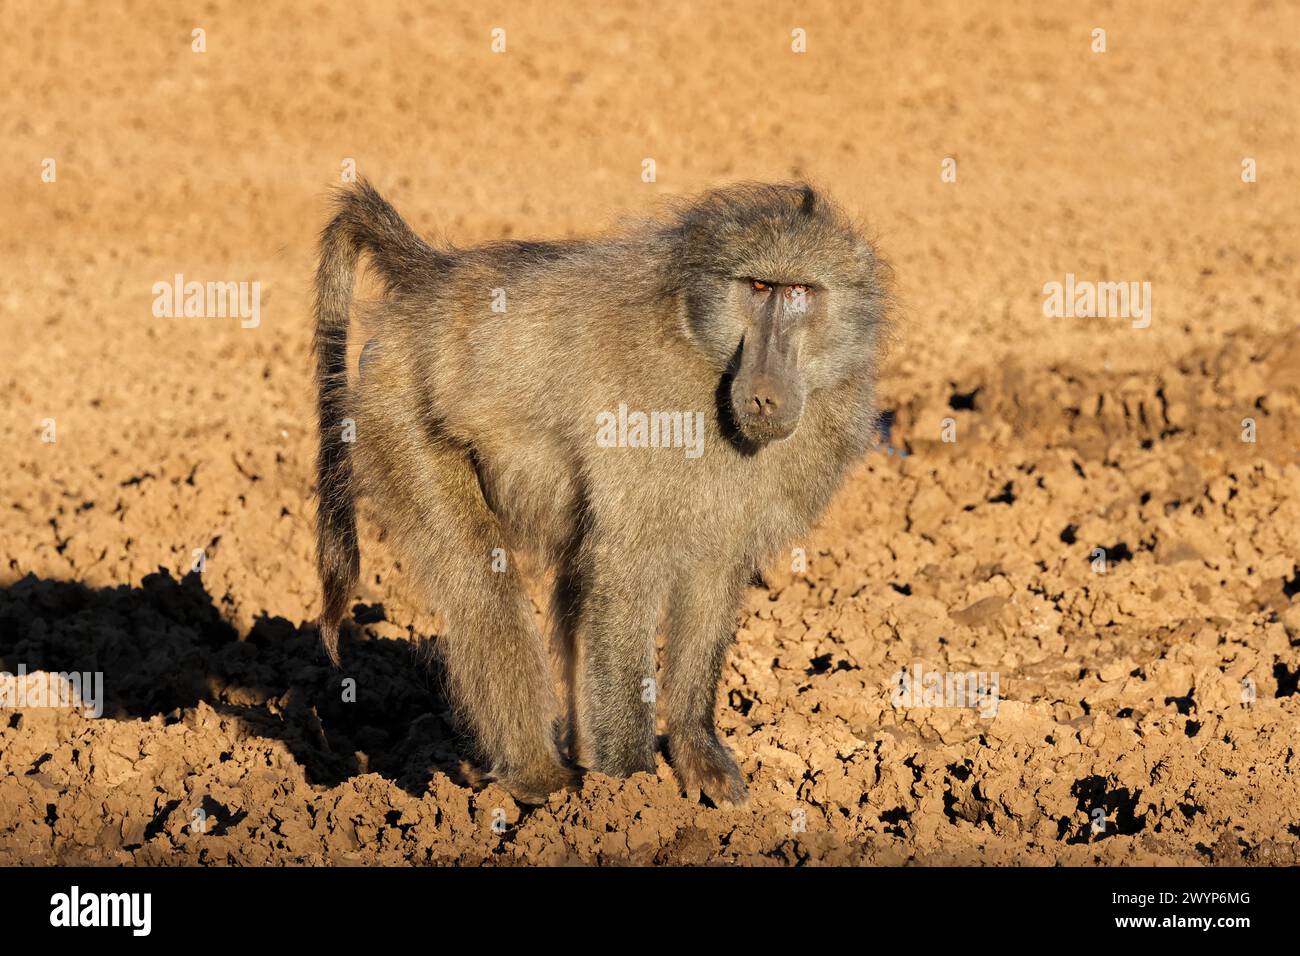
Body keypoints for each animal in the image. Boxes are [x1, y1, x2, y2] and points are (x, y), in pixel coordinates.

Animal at [313, 179, 891, 806]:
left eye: (800, 291)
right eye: (759, 287)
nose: (764, 393)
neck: (701, 349)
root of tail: (434, 280)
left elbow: (713, 577)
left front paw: (699, 755)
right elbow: (622, 579)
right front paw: (637, 792)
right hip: (399, 409)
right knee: (478, 582)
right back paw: (543, 781)